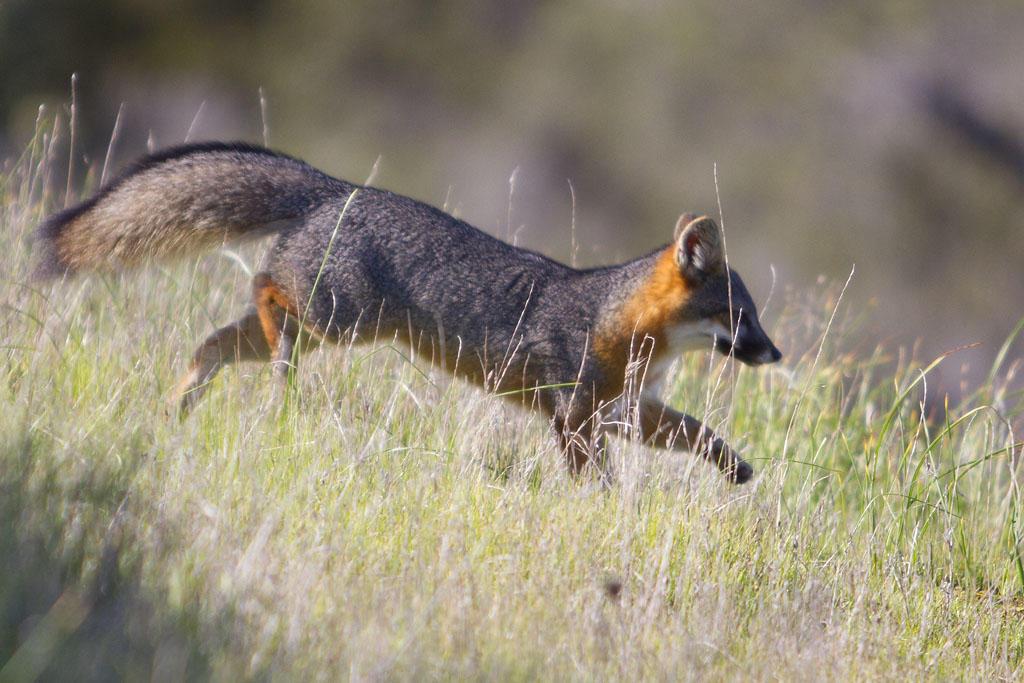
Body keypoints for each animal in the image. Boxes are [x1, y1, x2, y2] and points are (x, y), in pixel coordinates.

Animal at [36, 141, 778, 483]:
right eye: (740, 317)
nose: (775, 353)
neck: (622, 325)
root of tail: (340, 188)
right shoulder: (574, 415)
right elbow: (595, 477)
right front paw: (599, 510)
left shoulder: (627, 410)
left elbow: (699, 431)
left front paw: (735, 466)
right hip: (340, 320)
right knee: (263, 288)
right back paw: (275, 370)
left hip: (327, 326)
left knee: (211, 343)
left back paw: (182, 408)